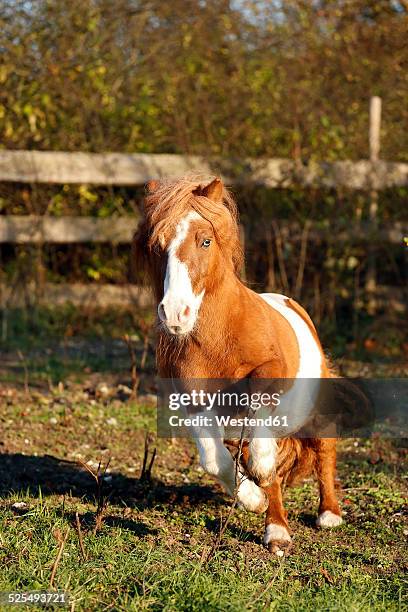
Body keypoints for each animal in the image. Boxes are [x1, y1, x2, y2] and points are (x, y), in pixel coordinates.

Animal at [133, 175, 342, 552]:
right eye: (156, 246)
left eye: (205, 240)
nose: (175, 314)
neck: (219, 341)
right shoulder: (194, 403)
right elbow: (215, 461)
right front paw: (251, 498)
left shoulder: (271, 371)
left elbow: (260, 412)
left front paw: (260, 465)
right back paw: (276, 530)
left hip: (316, 407)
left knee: (324, 446)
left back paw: (328, 514)